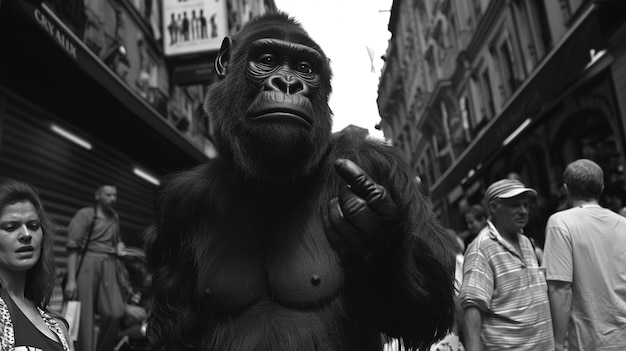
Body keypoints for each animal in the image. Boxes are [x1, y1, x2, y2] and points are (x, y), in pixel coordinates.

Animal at [146, 11, 454, 351]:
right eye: (267, 60)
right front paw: (373, 237)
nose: (289, 84)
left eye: (304, 68)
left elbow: (422, 310)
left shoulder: (379, 164)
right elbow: (174, 327)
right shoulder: (178, 203)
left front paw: (378, 240)